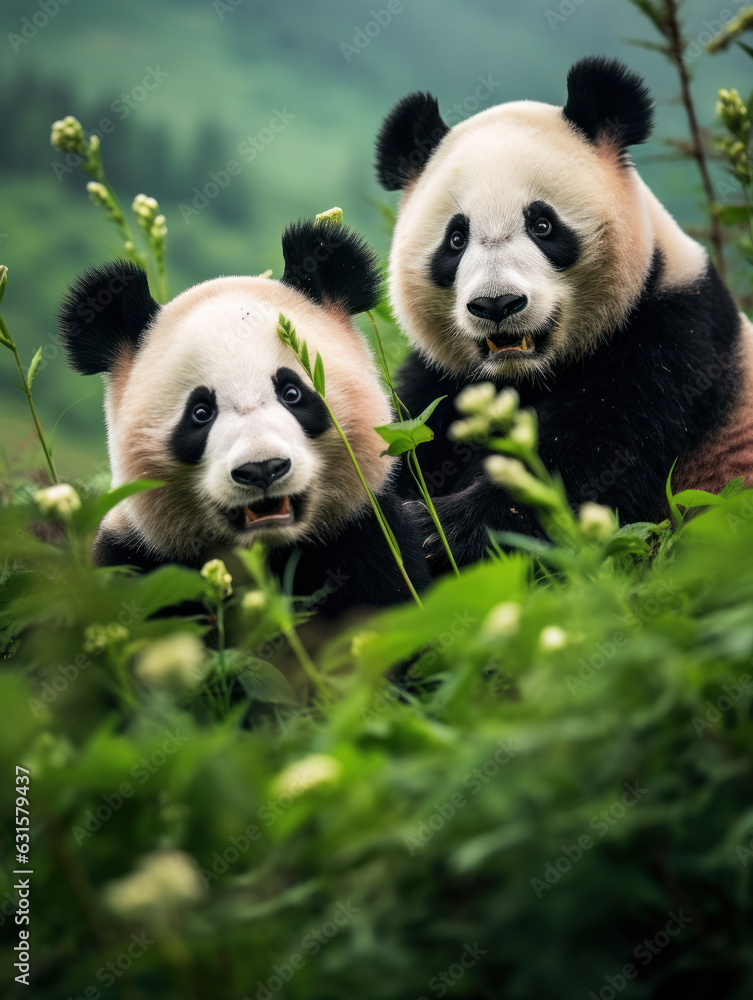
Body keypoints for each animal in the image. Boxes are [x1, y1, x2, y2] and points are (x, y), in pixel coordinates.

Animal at [58, 219, 430, 616]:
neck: (272, 551)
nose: (262, 469)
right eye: (200, 413)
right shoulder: (138, 561)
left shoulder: (364, 535)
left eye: (292, 393)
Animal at [374, 56, 753, 570]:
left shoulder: (673, 341)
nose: (497, 304)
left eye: (542, 225)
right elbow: (399, 439)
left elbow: (586, 472)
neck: (525, 376)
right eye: (456, 239)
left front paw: (437, 531)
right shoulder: (440, 380)